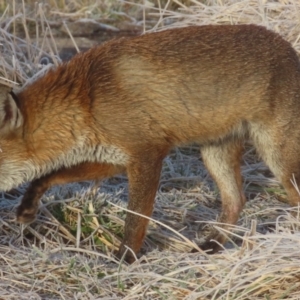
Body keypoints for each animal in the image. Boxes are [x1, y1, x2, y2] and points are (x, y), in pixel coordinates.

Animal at [0, 24, 300, 262]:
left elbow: (135, 220)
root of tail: (290, 49)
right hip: (216, 154)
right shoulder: (111, 159)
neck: (88, 99)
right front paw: (27, 207)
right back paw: (212, 246)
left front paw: (123, 261)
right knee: (236, 201)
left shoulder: (148, 154)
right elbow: (47, 177)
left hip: (278, 159)